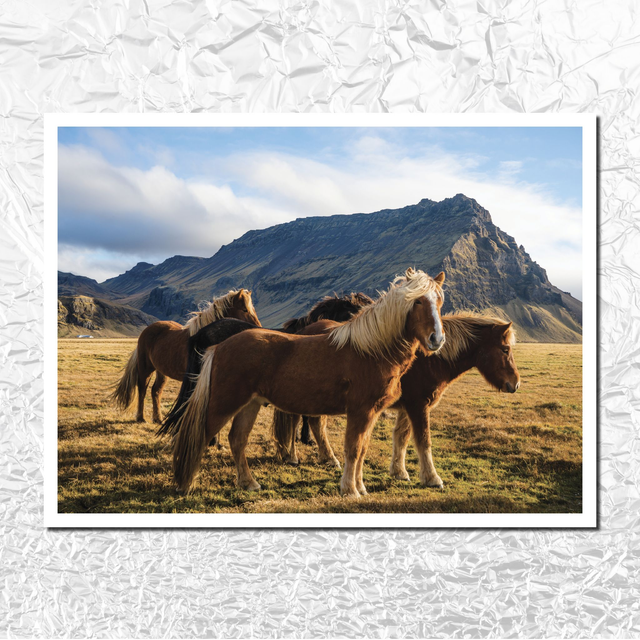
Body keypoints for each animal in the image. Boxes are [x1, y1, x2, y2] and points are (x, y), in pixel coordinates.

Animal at [110, 289, 261, 423]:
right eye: (245, 310)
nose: (258, 330)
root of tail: (146, 331)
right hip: (146, 368)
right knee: (142, 389)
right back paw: (141, 418)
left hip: (162, 371)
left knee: (156, 391)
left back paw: (158, 418)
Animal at [272, 314, 520, 487]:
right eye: (505, 349)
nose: (515, 384)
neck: (429, 359)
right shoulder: (419, 406)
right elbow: (423, 441)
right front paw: (432, 478)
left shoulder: (407, 407)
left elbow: (401, 438)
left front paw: (399, 472)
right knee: (296, 420)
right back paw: (293, 457)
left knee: (314, 423)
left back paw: (328, 458)